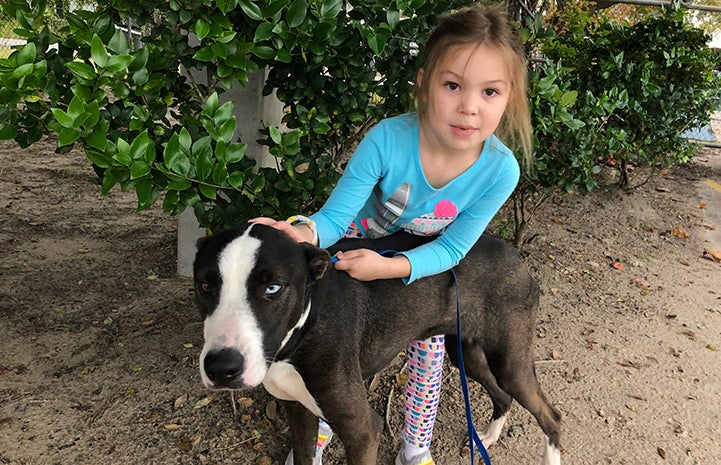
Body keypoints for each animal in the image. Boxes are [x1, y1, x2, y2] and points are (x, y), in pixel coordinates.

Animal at [193, 221, 564, 464]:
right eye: (205, 286)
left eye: (273, 288)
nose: (222, 368)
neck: (301, 333)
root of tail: (511, 250)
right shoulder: (299, 412)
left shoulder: (363, 431)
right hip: (466, 353)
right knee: (502, 395)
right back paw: (489, 434)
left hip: (509, 360)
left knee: (551, 416)